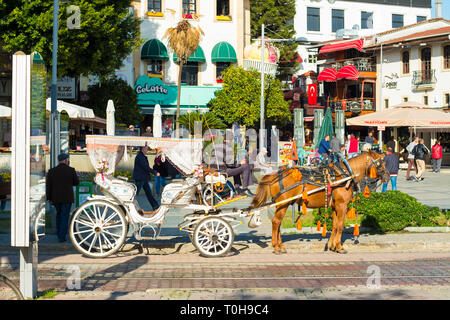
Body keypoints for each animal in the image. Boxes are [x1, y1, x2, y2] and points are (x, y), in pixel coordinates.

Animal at [250, 151, 390, 255]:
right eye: (380, 163)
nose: (388, 176)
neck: (345, 175)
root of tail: (273, 175)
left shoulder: (335, 206)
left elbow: (334, 225)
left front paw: (332, 246)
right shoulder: (342, 205)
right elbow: (340, 226)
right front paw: (339, 247)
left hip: (281, 204)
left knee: (278, 224)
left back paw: (280, 246)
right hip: (283, 204)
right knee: (276, 222)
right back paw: (276, 247)